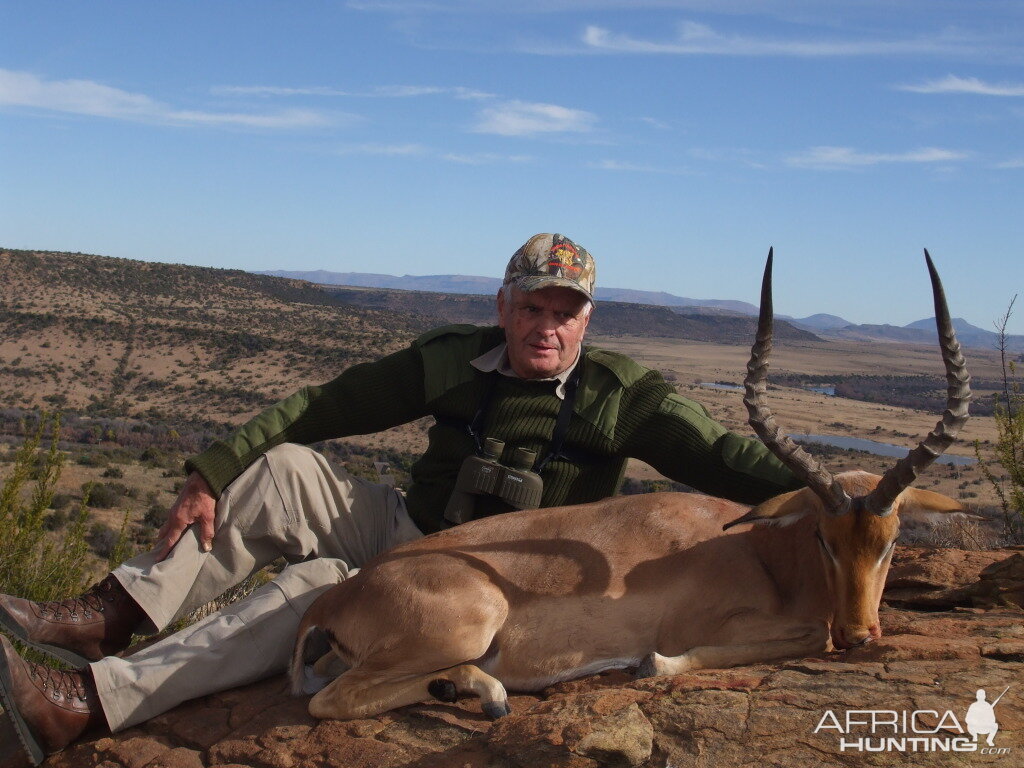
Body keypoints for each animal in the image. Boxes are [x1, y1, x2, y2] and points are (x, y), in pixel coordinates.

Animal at [288, 247, 966, 720]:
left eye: (891, 540)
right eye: (826, 538)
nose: (860, 634)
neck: (758, 550)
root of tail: (337, 597)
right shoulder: (718, 625)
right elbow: (798, 637)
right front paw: (652, 664)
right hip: (467, 626)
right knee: (328, 701)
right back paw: (487, 691)